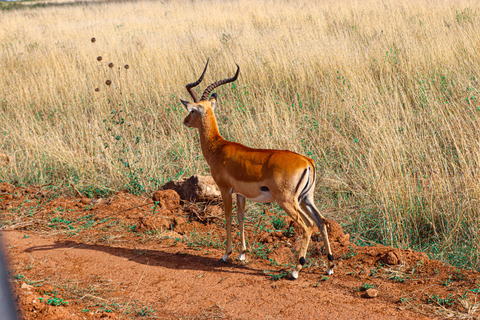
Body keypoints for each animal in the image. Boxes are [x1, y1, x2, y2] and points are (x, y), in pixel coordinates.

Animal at [180, 61, 334, 278]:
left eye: (193, 110)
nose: (185, 121)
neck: (219, 147)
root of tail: (307, 161)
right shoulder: (240, 193)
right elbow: (241, 217)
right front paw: (242, 253)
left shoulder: (225, 189)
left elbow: (228, 217)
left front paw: (226, 255)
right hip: (306, 199)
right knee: (322, 222)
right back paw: (329, 266)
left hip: (288, 201)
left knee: (308, 225)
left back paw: (296, 270)